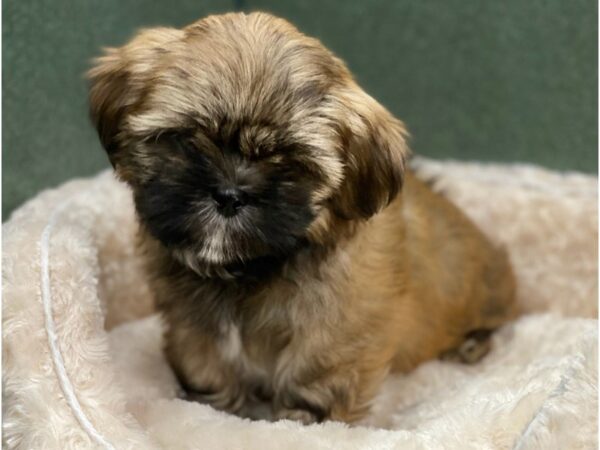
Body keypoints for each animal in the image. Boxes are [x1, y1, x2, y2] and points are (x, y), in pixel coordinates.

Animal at [88, 11, 516, 426]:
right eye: (186, 139)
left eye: (290, 162)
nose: (229, 194)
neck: (251, 269)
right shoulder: (190, 319)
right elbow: (205, 359)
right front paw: (214, 405)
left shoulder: (338, 325)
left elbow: (314, 367)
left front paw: (304, 418)